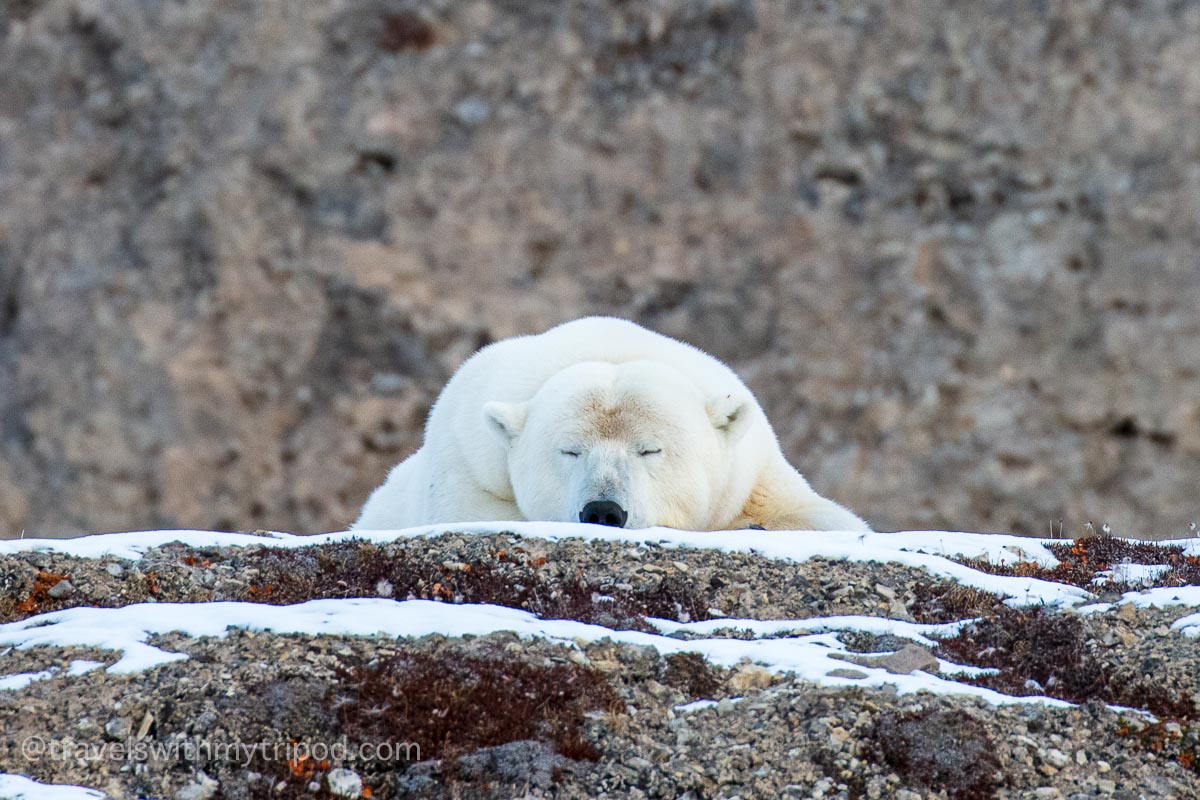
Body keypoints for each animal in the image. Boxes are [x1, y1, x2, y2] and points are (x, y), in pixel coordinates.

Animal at [350, 316, 868, 532]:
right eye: (569, 450)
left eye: (650, 449)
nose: (604, 511)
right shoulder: (468, 459)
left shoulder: (753, 474)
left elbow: (823, 516)